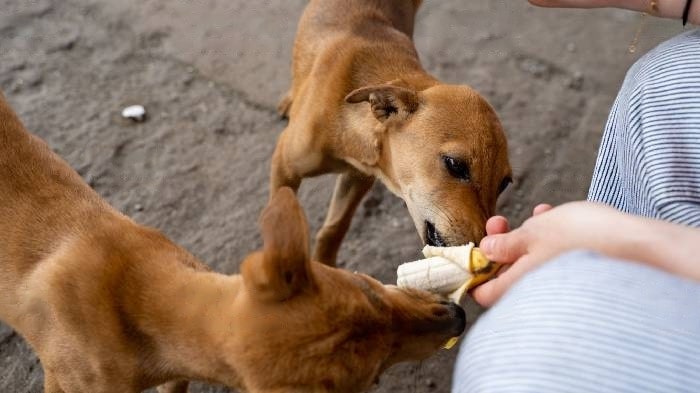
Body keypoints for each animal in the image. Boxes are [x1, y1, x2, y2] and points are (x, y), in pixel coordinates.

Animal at [274, 0, 516, 264]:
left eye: (504, 183)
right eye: (454, 164)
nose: (488, 255)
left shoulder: (358, 177)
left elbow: (335, 228)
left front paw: (325, 266)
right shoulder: (283, 166)